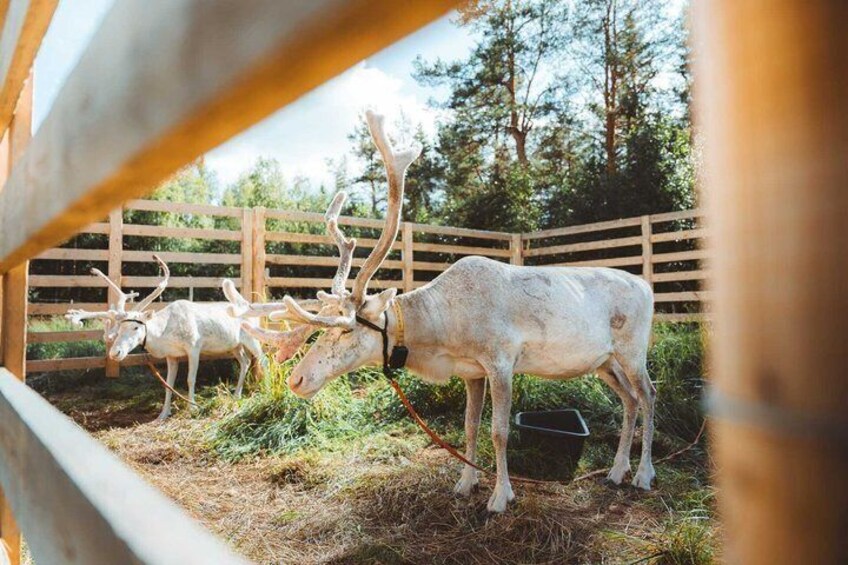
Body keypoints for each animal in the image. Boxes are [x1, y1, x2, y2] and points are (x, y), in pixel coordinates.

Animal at [66, 255, 267, 420]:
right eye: (119, 328)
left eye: (135, 326)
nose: (115, 352)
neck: (164, 334)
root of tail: (248, 306)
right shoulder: (171, 355)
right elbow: (168, 383)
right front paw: (163, 414)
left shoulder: (194, 347)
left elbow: (190, 379)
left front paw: (192, 408)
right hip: (234, 345)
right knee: (245, 361)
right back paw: (237, 394)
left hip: (252, 338)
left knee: (262, 359)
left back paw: (265, 389)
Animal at [223, 110, 656, 512]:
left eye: (345, 330)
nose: (296, 379)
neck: (445, 336)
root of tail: (648, 287)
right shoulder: (473, 372)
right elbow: (469, 427)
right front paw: (465, 482)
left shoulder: (501, 360)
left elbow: (499, 431)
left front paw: (500, 496)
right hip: (604, 361)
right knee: (630, 400)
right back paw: (617, 470)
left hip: (633, 350)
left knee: (649, 394)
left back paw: (643, 474)